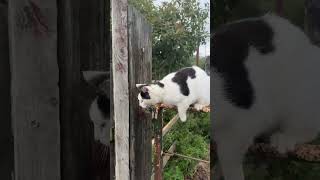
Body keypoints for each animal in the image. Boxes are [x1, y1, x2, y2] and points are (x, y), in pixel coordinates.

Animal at [212, 13, 320, 180]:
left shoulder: (247, 117)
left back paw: (286, 138)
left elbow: (230, 153)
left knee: (308, 129)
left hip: (302, 94)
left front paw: (230, 171)